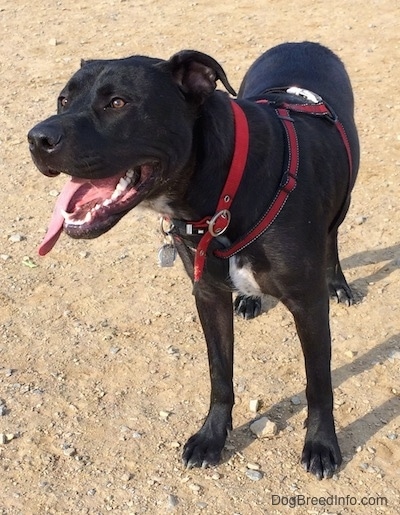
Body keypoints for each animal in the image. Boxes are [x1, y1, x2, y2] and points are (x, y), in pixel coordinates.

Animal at [28, 42, 360, 482]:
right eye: (63, 100)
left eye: (118, 103)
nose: (37, 138)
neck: (224, 192)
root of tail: (303, 44)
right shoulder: (208, 294)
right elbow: (220, 373)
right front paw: (211, 437)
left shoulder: (308, 305)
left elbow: (318, 383)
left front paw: (321, 444)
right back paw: (250, 299)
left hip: (343, 200)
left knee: (333, 237)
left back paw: (339, 283)